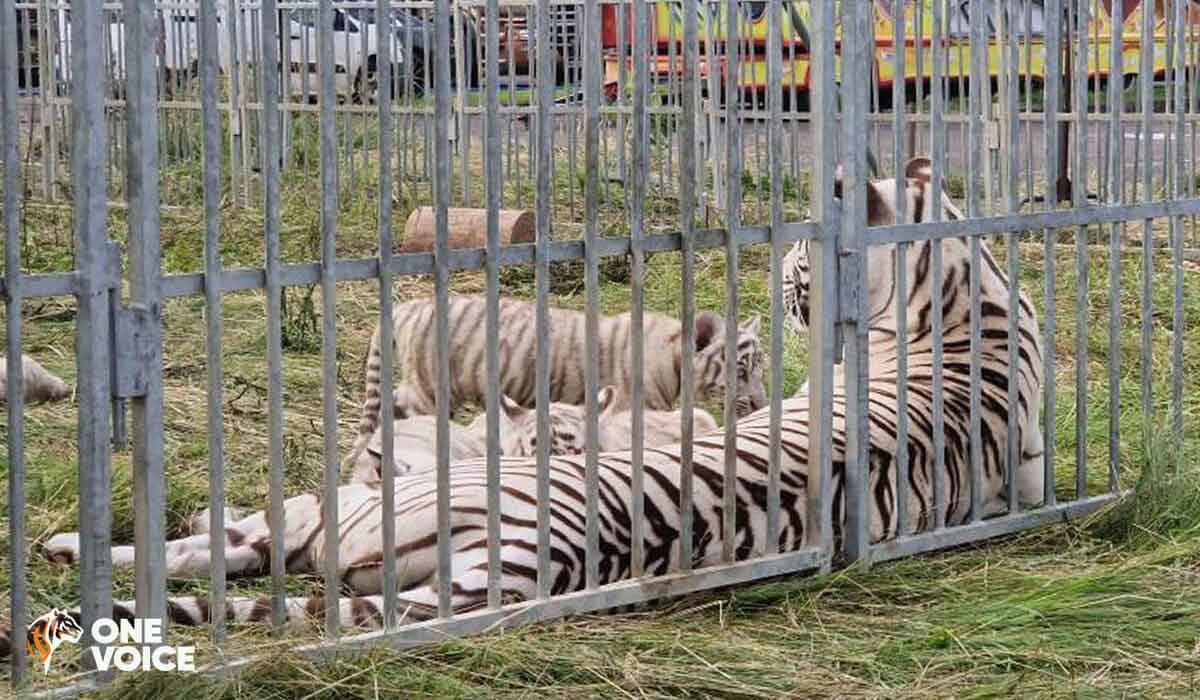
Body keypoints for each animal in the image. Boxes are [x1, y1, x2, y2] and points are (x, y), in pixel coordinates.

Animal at [11, 158, 1041, 638]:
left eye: (795, 263)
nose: (783, 274)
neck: (966, 290)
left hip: (343, 512)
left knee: (219, 545)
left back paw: (69, 549)